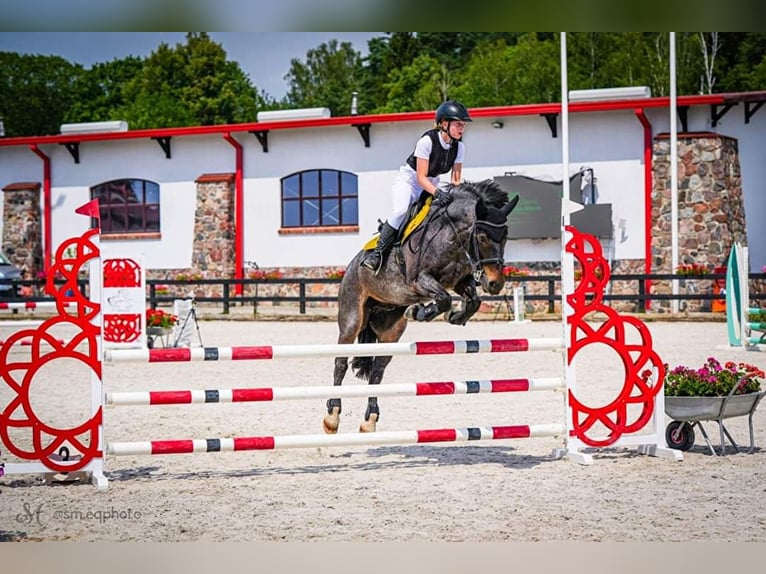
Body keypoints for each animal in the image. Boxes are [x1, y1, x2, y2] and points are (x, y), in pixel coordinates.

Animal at [324, 178, 520, 434]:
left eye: (506, 236)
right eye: (482, 237)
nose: (496, 284)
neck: (451, 235)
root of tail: (350, 267)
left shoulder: (459, 281)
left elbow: (473, 301)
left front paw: (454, 317)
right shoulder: (419, 280)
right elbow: (443, 298)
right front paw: (420, 311)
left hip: (390, 330)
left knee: (377, 370)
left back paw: (370, 420)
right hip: (352, 318)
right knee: (340, 363)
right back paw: (332, 416)